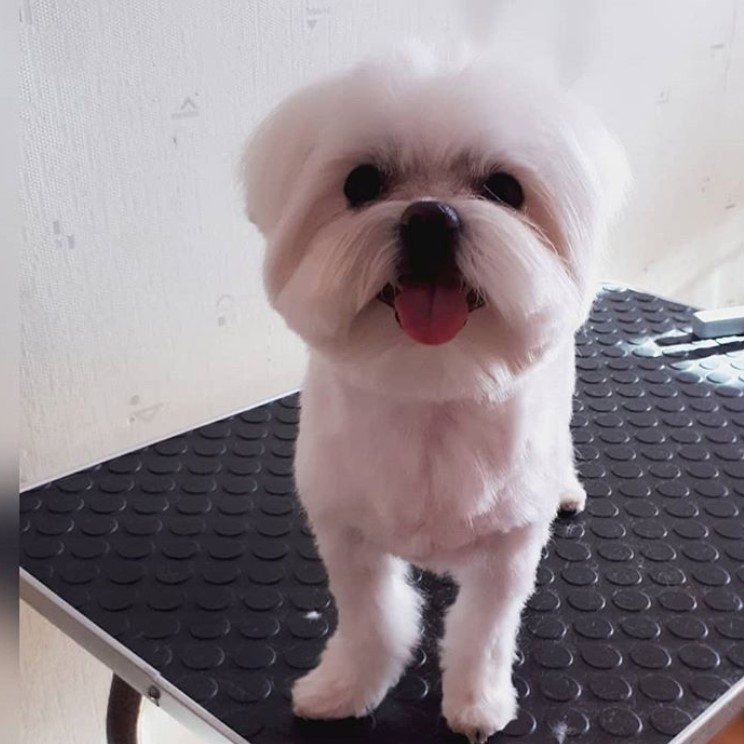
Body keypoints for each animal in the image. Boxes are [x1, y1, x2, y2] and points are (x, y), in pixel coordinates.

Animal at [244, 48, 628, 744]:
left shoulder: (508, 550)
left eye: (503, 188)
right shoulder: (346, 535)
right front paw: (346, 688)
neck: (431, 392)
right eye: (361, 183)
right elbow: (370, 618)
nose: (428, 217)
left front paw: (477, 703)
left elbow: (485, 632)